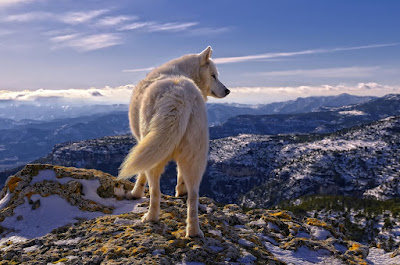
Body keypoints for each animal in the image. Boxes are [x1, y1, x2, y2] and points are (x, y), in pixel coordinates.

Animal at [117, 46, 230, 236]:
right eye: (214, 75)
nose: (227, 90)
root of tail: (180, 96)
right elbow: (180, 176)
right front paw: (180, 191)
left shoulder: (143, 143)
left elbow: (141, 175)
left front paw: (135, 193)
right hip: (195, 157)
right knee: (193, 195)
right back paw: (193, 231)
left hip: (155, 153)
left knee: (155, 191)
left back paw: (150, 218)